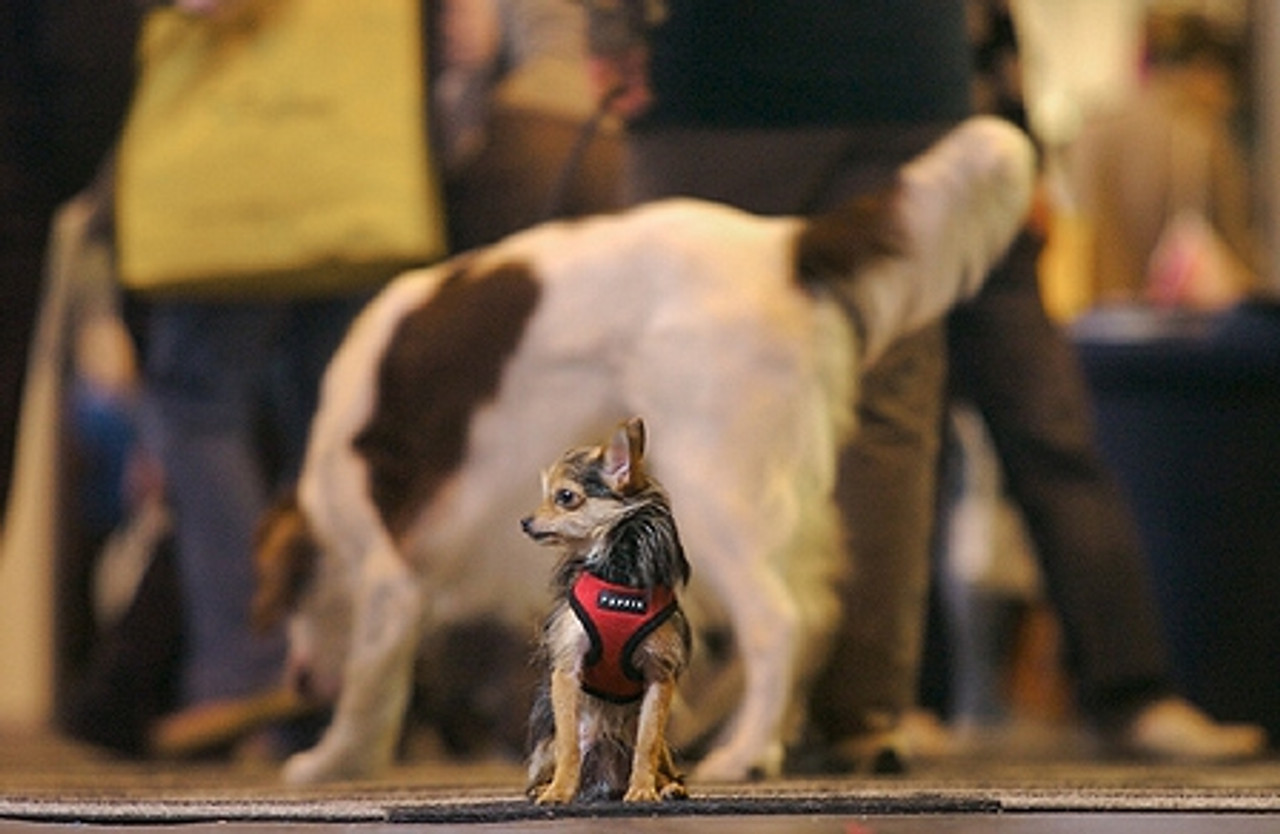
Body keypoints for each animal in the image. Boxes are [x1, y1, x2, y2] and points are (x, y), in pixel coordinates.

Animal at [522, 419, 691, 803]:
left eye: (565, 497)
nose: (524, 522)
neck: (617, 573)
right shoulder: (567, 672)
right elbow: (570, 744)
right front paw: (558, 792)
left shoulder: (659, 676)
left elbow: (647, 742)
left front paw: (643, 790)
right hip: (549, 741)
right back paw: (544, 785)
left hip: (658, 747)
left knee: (658, 755)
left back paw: (667, 786)